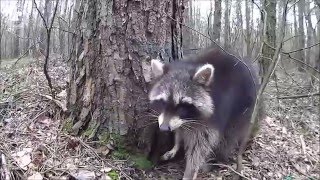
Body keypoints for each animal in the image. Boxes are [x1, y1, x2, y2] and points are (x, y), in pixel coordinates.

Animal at [148, 48, 260, 179]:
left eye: (182, 105)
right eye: (163, 102)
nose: (164, 128)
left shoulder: (213, 117)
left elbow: (200, 146)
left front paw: (190, 171)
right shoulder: (181, 120)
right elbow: (180, 129)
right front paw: (176, 144)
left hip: (242, 108)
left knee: (229, 136)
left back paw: (219, 158)